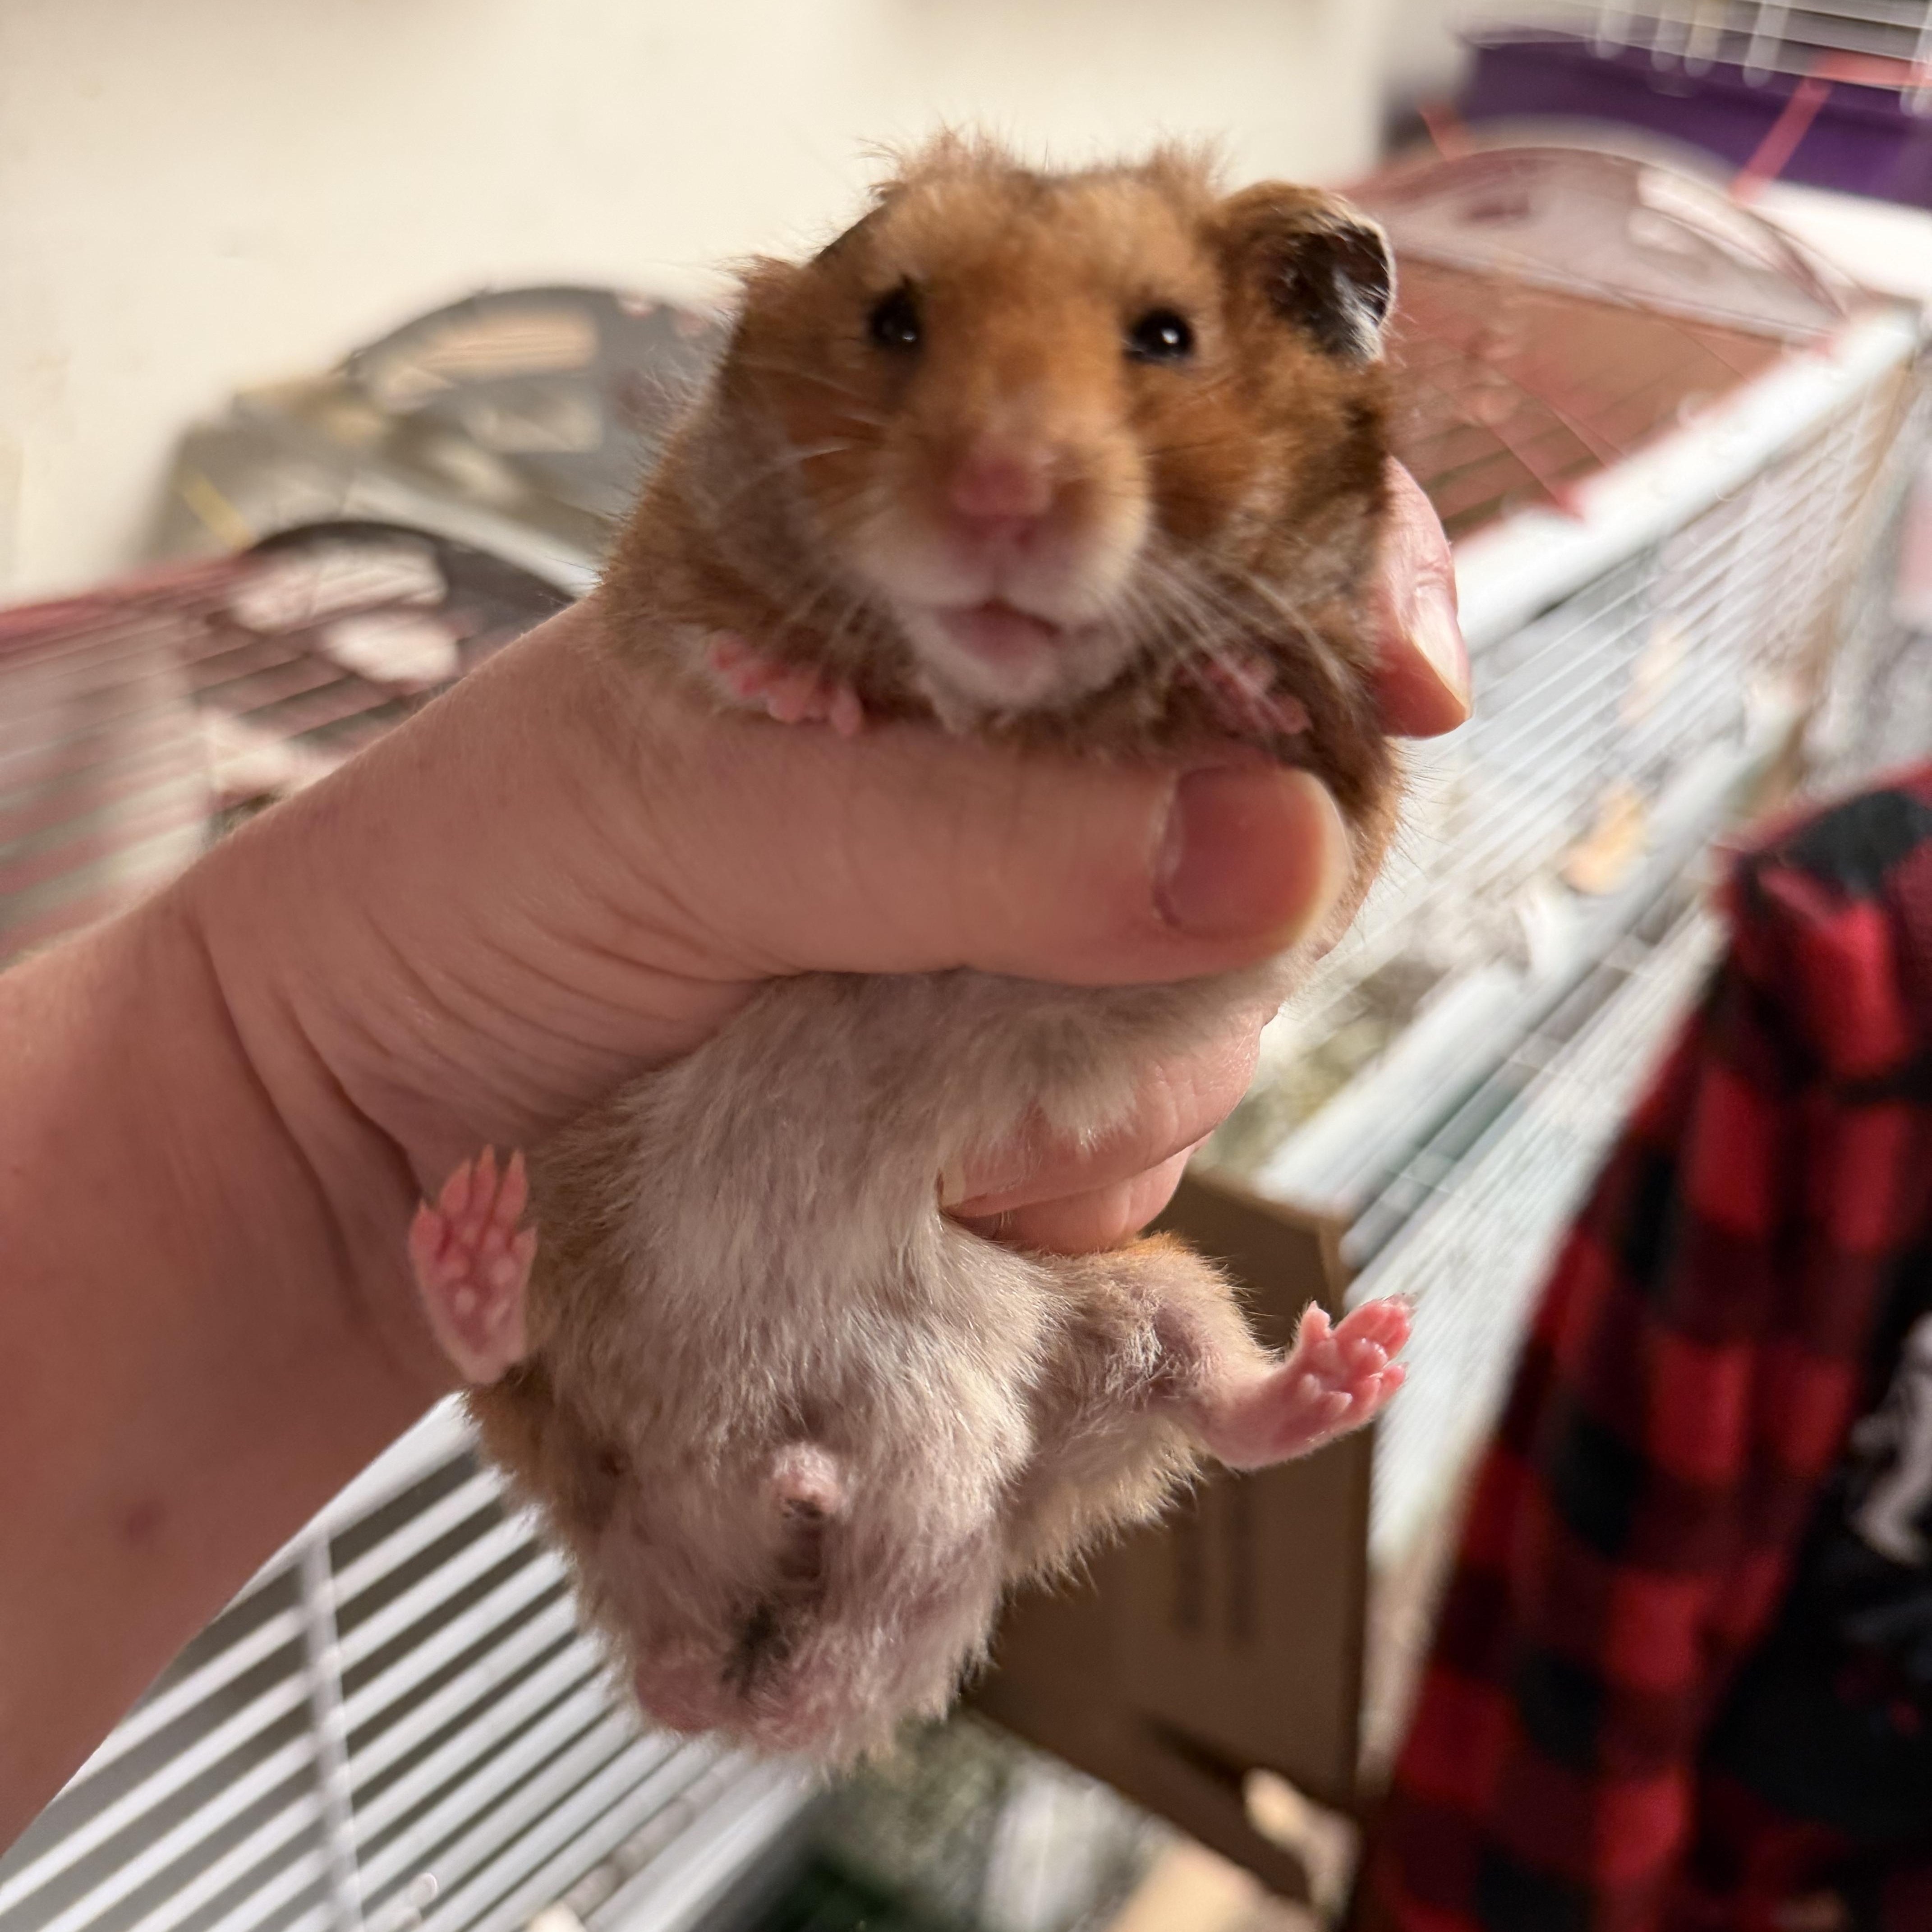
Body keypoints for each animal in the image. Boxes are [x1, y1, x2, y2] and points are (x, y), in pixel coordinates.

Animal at [404, 137, 1410, 1763]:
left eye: (1166, 338)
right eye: (895, 323)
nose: (999, 497)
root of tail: (772, 1673)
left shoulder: (1282, 864)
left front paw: (1233, 682)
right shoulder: (654, 609)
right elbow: (715, 653)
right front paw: (794, 687)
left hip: (1128, 1306)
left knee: (1208, 1406)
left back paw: (1352, 1358)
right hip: (577, 1305)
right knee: (506, 1362)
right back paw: (479, 1257)